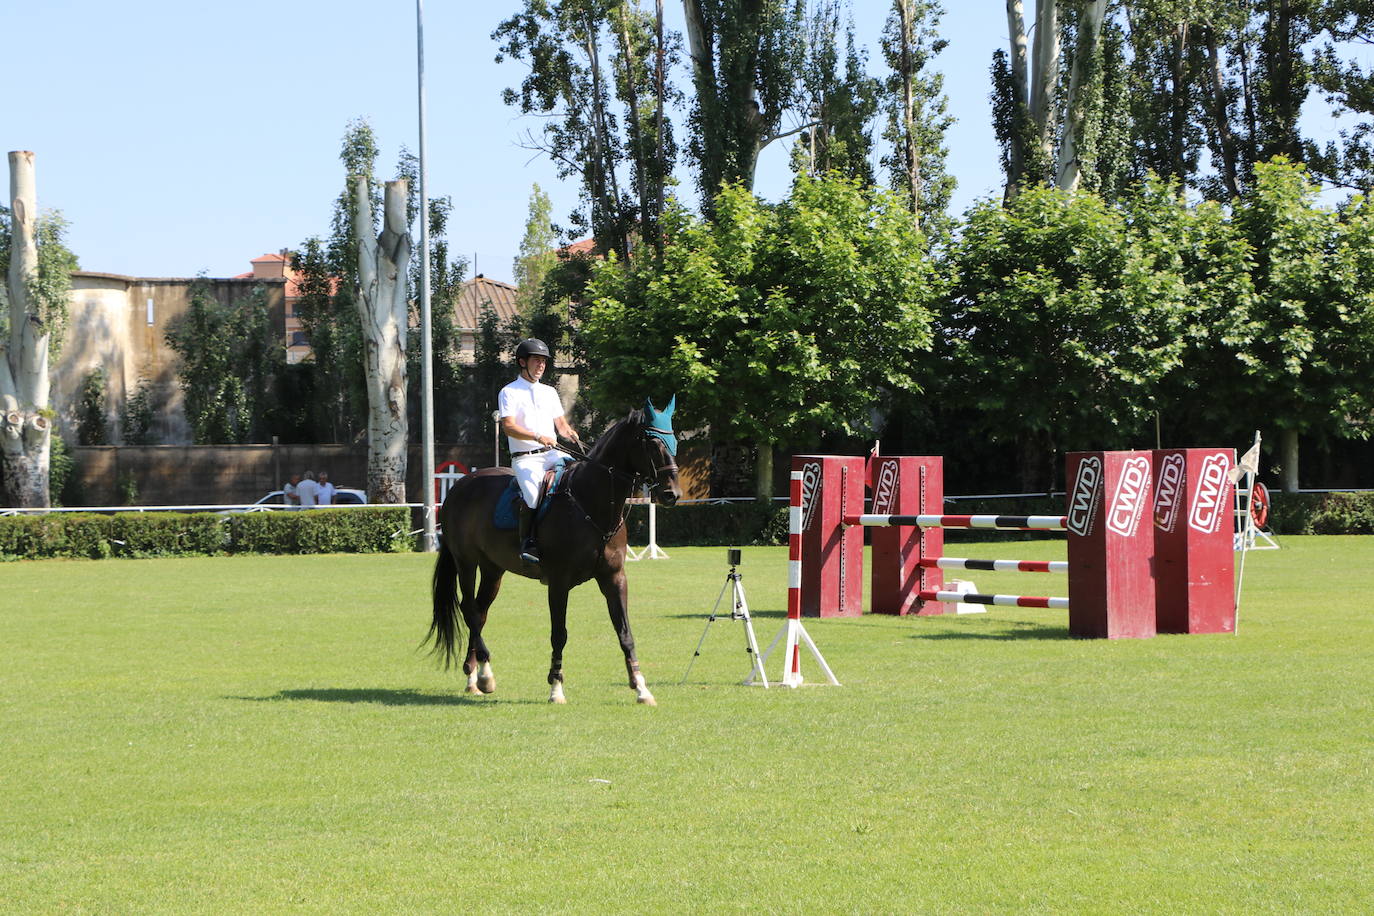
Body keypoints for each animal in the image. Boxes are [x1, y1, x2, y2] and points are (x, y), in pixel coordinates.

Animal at [428, 398, 681, 708]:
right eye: (653, 443)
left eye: (673, 441)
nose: (672, 494)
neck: (589, 502)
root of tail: (459, 486)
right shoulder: (559, 583)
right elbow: (559, 634)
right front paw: (556, 688)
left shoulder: (614, 578)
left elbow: (625, 632)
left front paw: (641, 688)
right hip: (466, 562)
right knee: (470, 611)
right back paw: (486, 675)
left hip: (493, 569)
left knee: (480, 610)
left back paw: (473, 677)